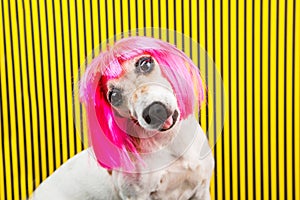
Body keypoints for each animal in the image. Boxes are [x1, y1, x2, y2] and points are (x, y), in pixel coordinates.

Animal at [31, 36, 213, 199]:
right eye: (114, 96)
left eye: (145, 64)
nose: (154, 111)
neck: (170, 144)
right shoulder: (136, 196)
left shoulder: (202, 190)